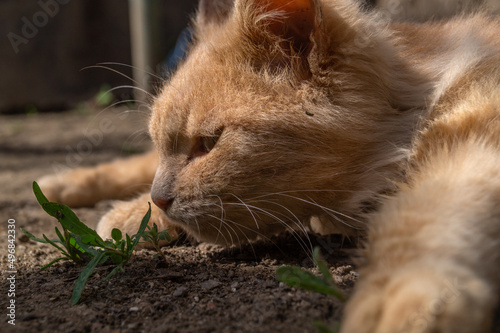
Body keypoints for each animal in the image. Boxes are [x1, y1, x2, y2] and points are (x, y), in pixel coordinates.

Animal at [40, 0, 500, 330]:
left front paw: (402, 299)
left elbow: (420, 220)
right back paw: (62, 186)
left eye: (208, 144)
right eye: (162, 142)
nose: (159, 197)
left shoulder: (471, 143)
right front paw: (131, 209)